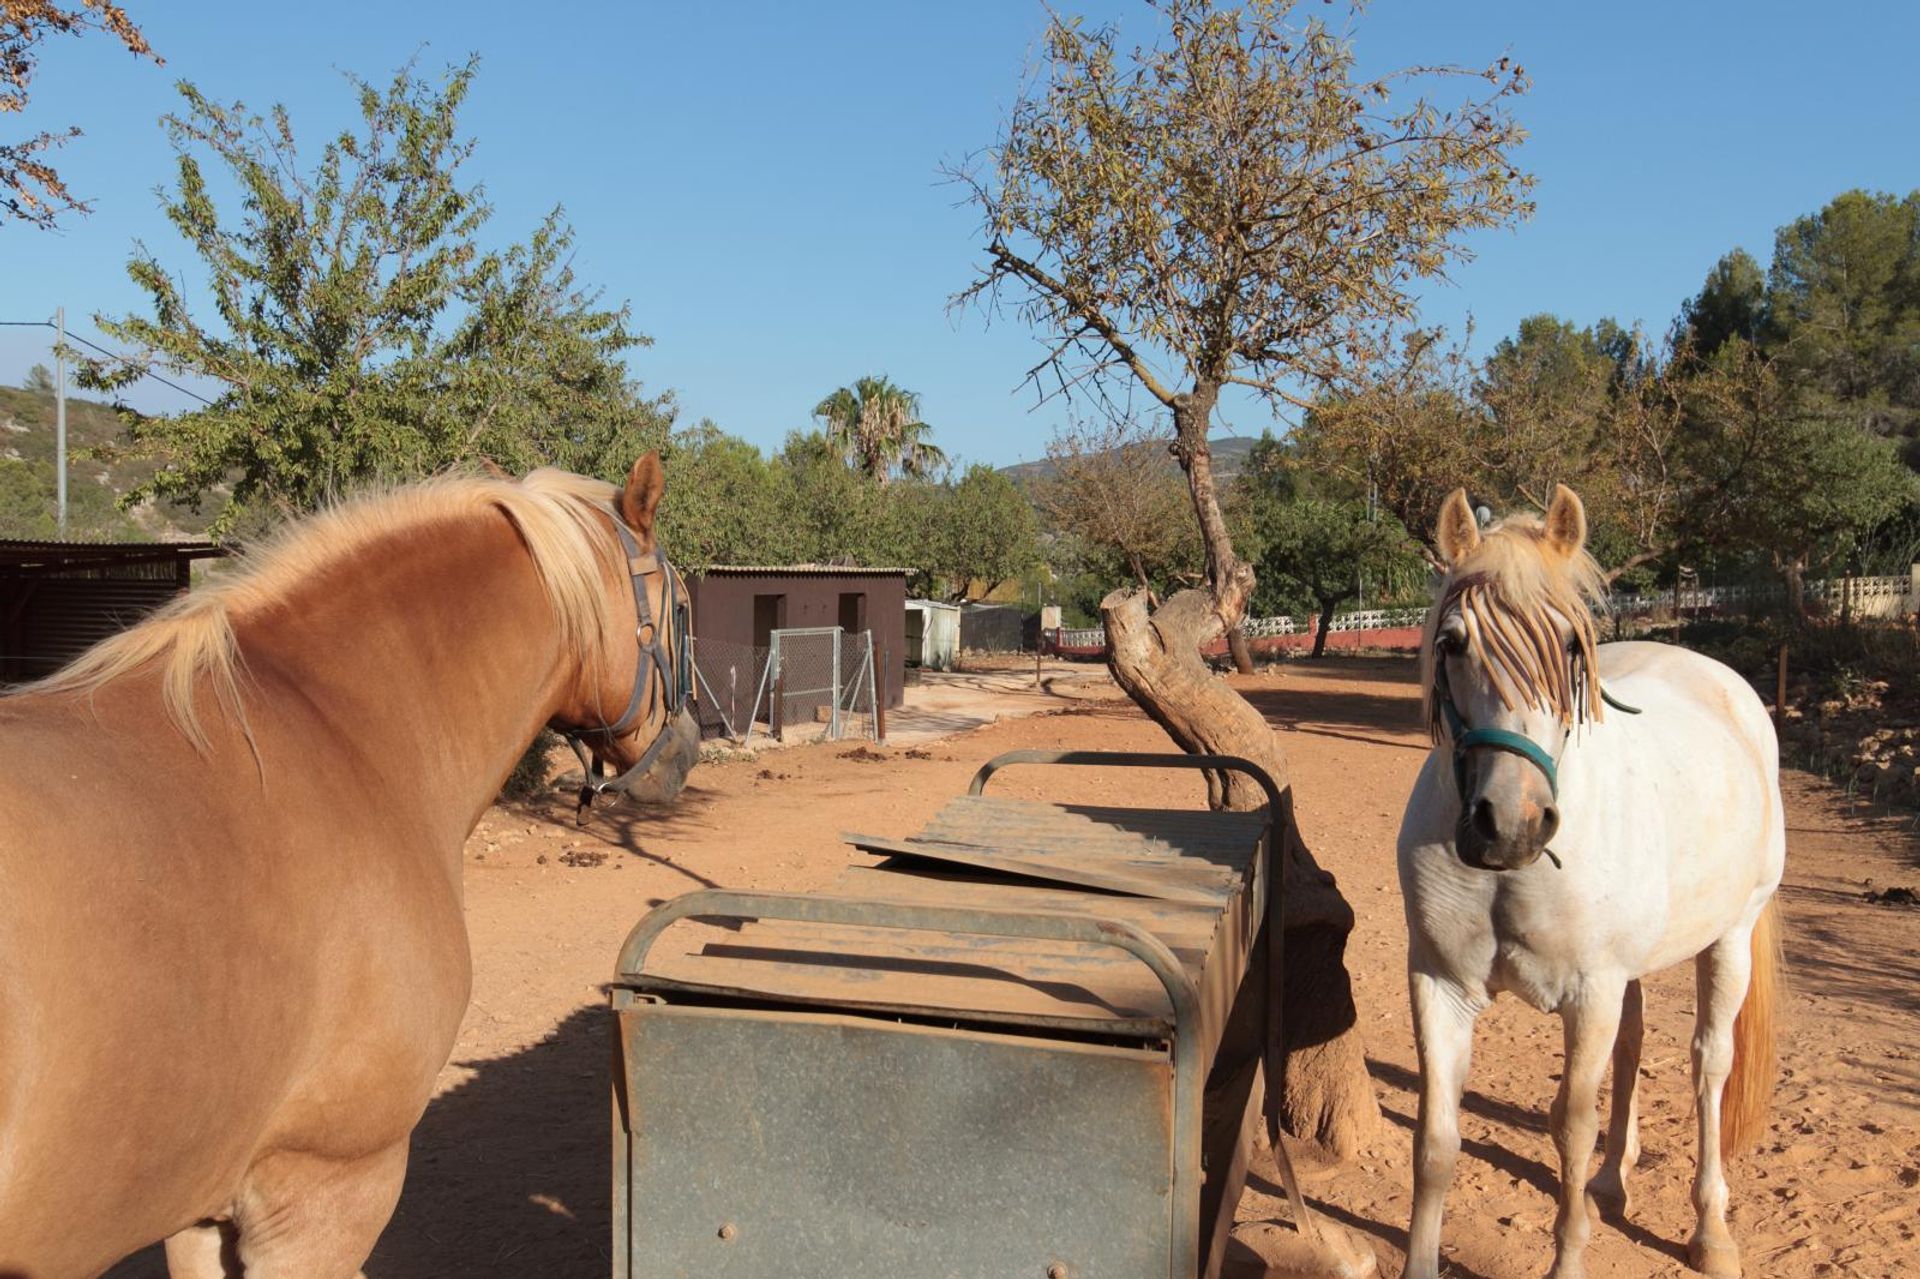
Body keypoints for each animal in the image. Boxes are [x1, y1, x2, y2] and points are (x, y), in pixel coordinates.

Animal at [1397, 485, 1781, 1275]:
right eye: (1452, 644)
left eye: (1571, 646)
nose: (1509, 824)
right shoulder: (1439, 985)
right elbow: (1436, 1143)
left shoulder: (1588, 993)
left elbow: (1570, 1127)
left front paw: (1570, 1254)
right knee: (1634, 1047)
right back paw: (1614, 1179)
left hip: (1729, 937)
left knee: (1709, 1065)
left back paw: (1710, 1230)